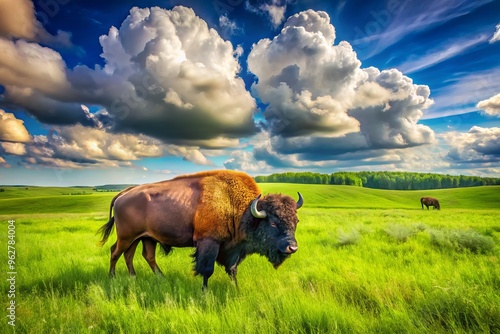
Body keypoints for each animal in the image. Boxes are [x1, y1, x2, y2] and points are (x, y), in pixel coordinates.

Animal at [97, 171, 300, 288]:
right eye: (272, 223)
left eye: (296, 221)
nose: (292, 247)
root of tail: (123, 193)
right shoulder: (208, 242)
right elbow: (207, 269)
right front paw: (205, 292)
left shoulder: (233, 249)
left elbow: (232, 269)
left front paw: (236, 288)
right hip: (126, 237)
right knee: (115, 252)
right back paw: (113, 278)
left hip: (144, 238)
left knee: (139, 256)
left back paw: (147, 278)